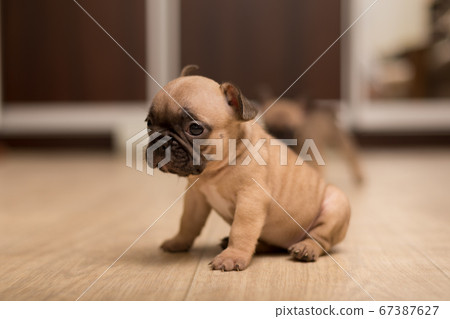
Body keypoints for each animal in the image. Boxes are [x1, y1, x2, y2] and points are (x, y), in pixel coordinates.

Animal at [146, 65, 350, 272]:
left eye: (195, 128)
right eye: (149, 123)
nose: (161, 141)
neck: (215, 171)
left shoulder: (250, 199)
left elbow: (241, 230)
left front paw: (232, 256)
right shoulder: (195, 197)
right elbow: (188, 222)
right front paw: (178, 242)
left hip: (336, 204)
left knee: (321, 239)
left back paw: (306, 248)